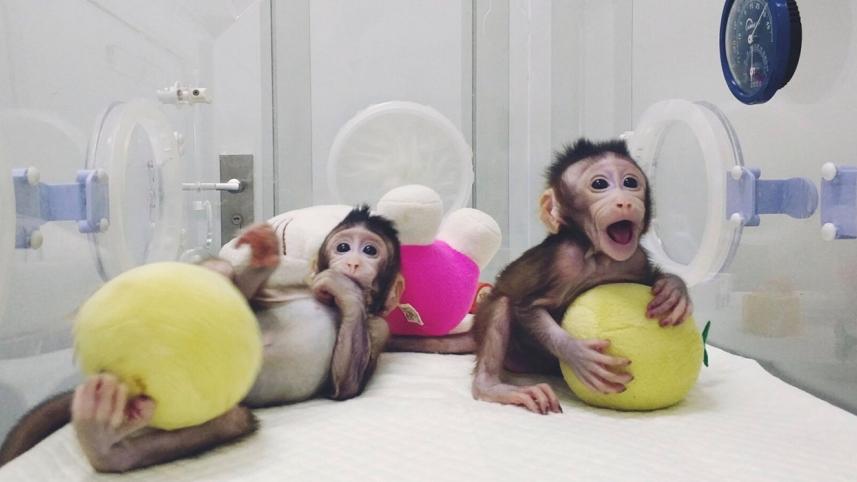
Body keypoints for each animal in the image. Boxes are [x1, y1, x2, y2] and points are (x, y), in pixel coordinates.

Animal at [0, 206, 404, 472]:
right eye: (342, 246)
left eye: (370, 249)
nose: (352, 262)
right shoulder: (293, 281)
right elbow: (249, 295)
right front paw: (264, 255)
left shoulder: (380, 330)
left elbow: (344, 387)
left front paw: (344, 289)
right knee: (221, 270)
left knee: (234, 420)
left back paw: (103, 441)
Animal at [471, 138, 693, 415]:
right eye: (599, 184)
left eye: (631, 182)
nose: (625, 201)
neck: (598, 257)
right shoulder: (563, 261)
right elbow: (527, 308)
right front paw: (577, 353)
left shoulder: (635, 259)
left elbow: (649, 277)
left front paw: (674, 289)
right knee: (501, 304)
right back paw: (491, 387)